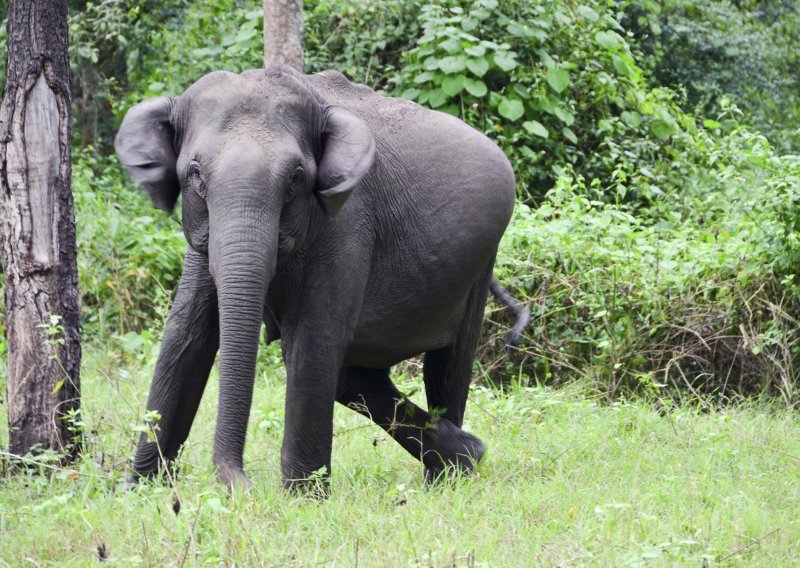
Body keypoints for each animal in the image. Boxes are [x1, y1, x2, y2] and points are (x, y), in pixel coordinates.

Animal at [115, 65, 520, 492]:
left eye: (295, 178)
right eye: (195, 175)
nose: (243, 485)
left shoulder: (346, 223)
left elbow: (311, 342)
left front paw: (302, 497)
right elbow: (186, 337)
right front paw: (138, 489)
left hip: (481, 259)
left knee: (447, 366)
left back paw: (451, 474)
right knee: (354, 378)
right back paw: (460, 455)